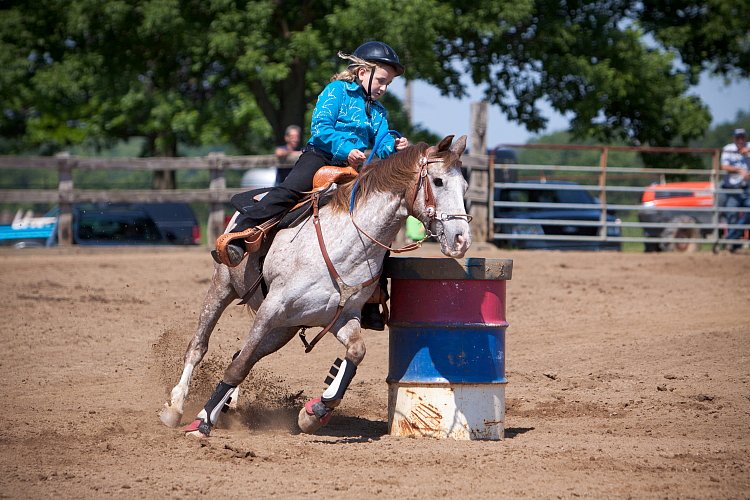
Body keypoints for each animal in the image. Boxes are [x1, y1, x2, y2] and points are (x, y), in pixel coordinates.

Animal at [162, 135, 472, 436]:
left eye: (465, 187)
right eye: (438, 181)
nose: (461, 240)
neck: (346, 243)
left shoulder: (342, 317)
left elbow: (356, 353)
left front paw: (315, 412)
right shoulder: (270, 310)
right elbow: (236, 367)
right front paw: (202, 422)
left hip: (283, 330)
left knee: (247, 355)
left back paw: (227, 405)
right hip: (223, 287)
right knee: (200, 346)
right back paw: (176, 408)